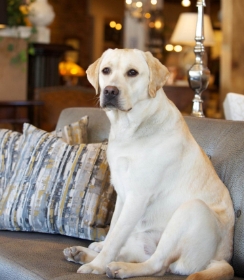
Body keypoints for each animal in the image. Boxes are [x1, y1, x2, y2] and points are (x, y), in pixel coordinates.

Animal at [63, 49, 235, 278]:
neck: (129, 128)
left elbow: (115, 237)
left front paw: (97, 266)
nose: (110, 91)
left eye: (132, 72)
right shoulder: (122, 195)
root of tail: (222, 259)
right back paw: (84, 252)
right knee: (133, 253)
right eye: (106, 70)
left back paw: (118, 267)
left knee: (157, 265)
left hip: (191, 210)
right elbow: (113, 231)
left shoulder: (137, 196)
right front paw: (98, 253)